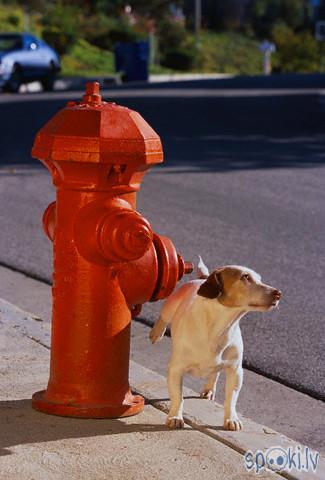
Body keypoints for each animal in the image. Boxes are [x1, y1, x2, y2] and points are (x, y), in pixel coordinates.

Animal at [149, 258, 278, 432]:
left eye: (259, 278)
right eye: (245, 277)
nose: (278, 293)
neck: (220, 327)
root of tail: (203, 279)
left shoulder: (235, 371)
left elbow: (231, 399)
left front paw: (231, 419)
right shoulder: (176, 370)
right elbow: (178, 396)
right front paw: (175, 417)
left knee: (214, 374)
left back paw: (209, 388)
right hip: (170, 306)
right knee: (163, 317)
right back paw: (156, 333)